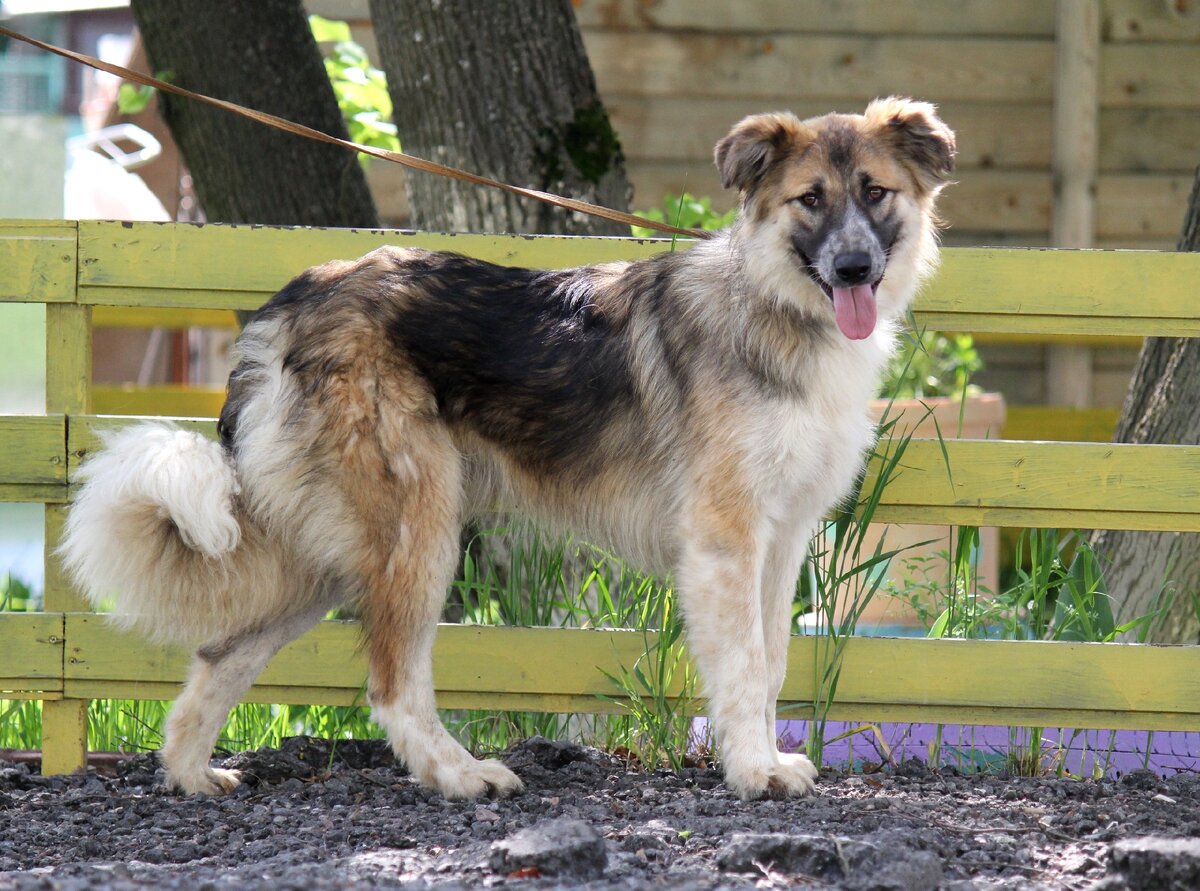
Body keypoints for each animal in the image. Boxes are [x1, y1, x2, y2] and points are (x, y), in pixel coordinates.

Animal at [58, 97, 955, 802]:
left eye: (874, 193)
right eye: (811, 200)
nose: (854, 266)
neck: (773, 305)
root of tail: (294, 302)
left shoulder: (781, 539)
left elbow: (768, 667)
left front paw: (766, 757)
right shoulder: (725, 542)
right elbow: (740, 668)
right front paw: (752, 770)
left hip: (321, 553)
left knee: (222, 654)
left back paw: (188, 774)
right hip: (417, 532)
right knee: (393, 683)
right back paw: (461, 775)